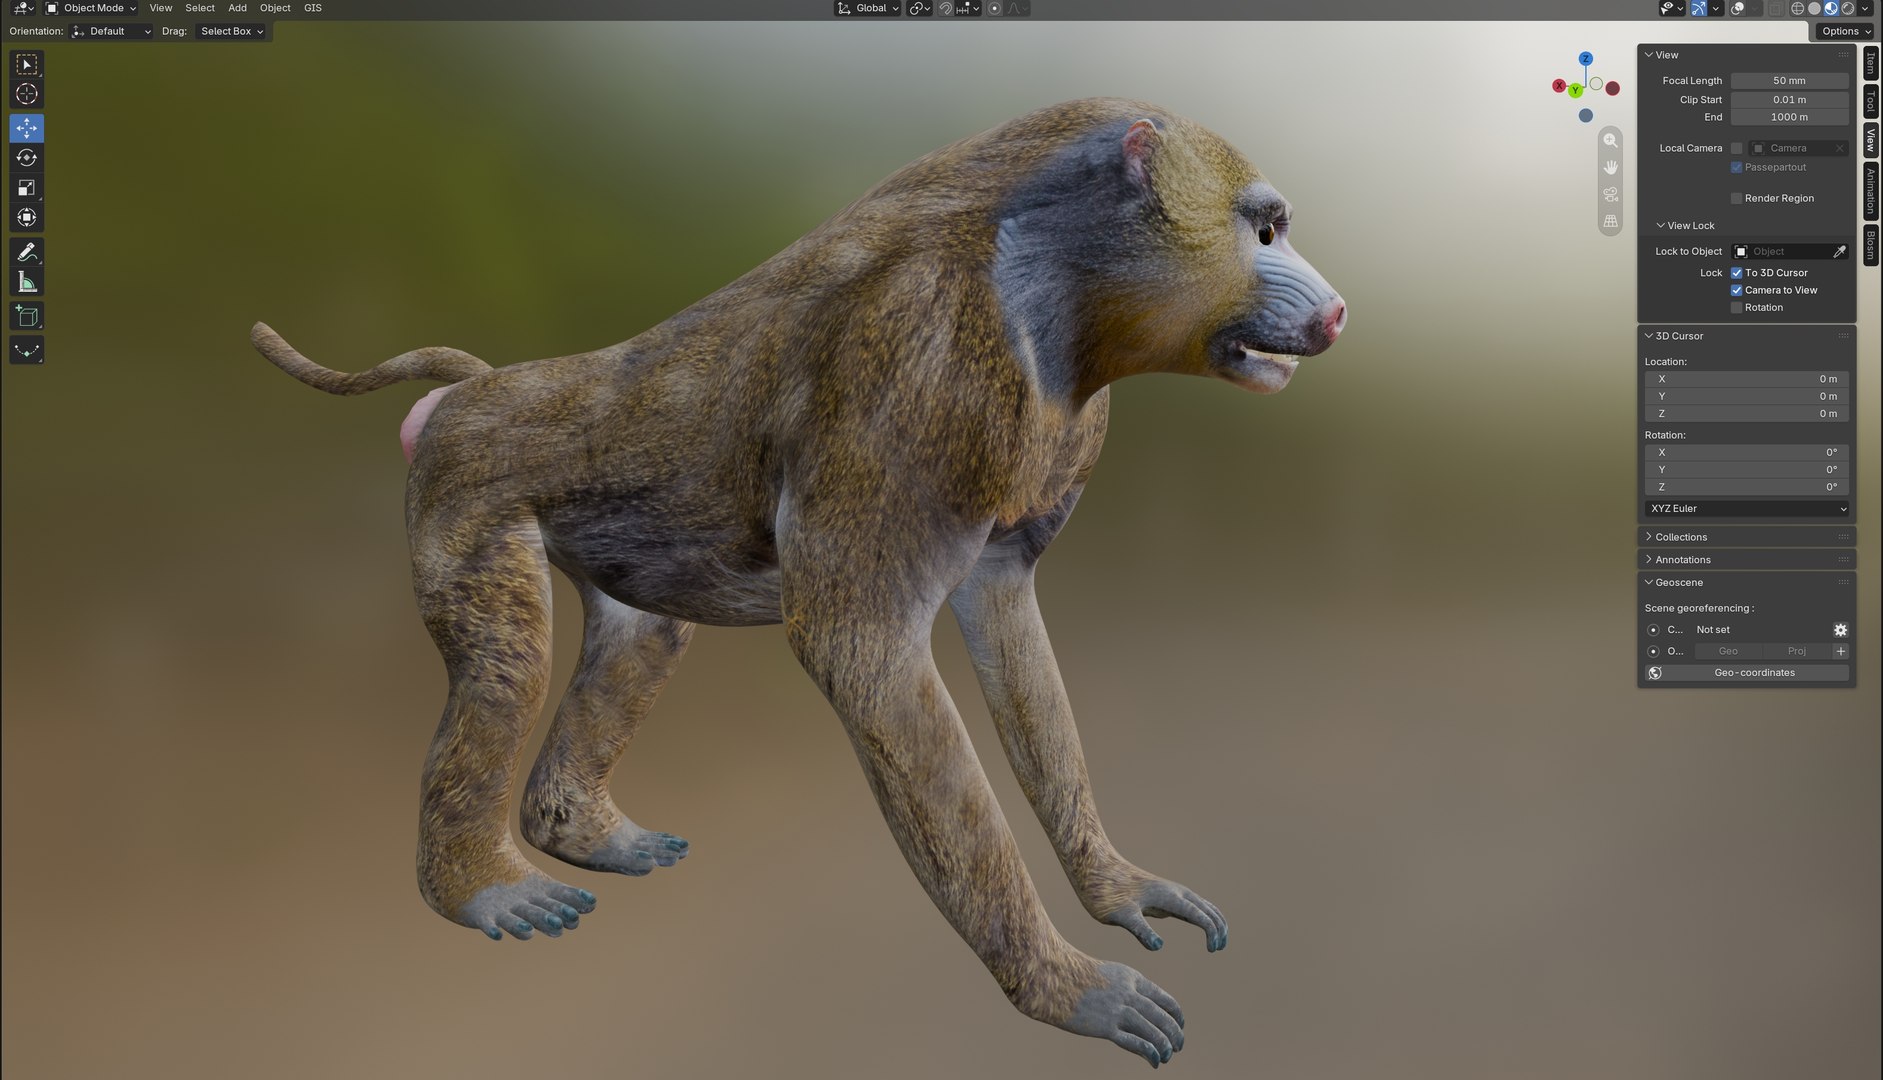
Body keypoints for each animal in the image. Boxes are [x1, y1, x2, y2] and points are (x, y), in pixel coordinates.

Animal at [253, 97, 1345, 1068]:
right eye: (1263, 227)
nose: (1334, 310)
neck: (1048, 291)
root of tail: (475, 392)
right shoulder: (916, 367)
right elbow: (862, 657)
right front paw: (1065, 991)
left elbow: (1005, 627)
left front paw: (1113, 890)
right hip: (470, 498)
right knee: (504, 671)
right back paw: (478, 887)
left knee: (645, 636)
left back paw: (574, 829)